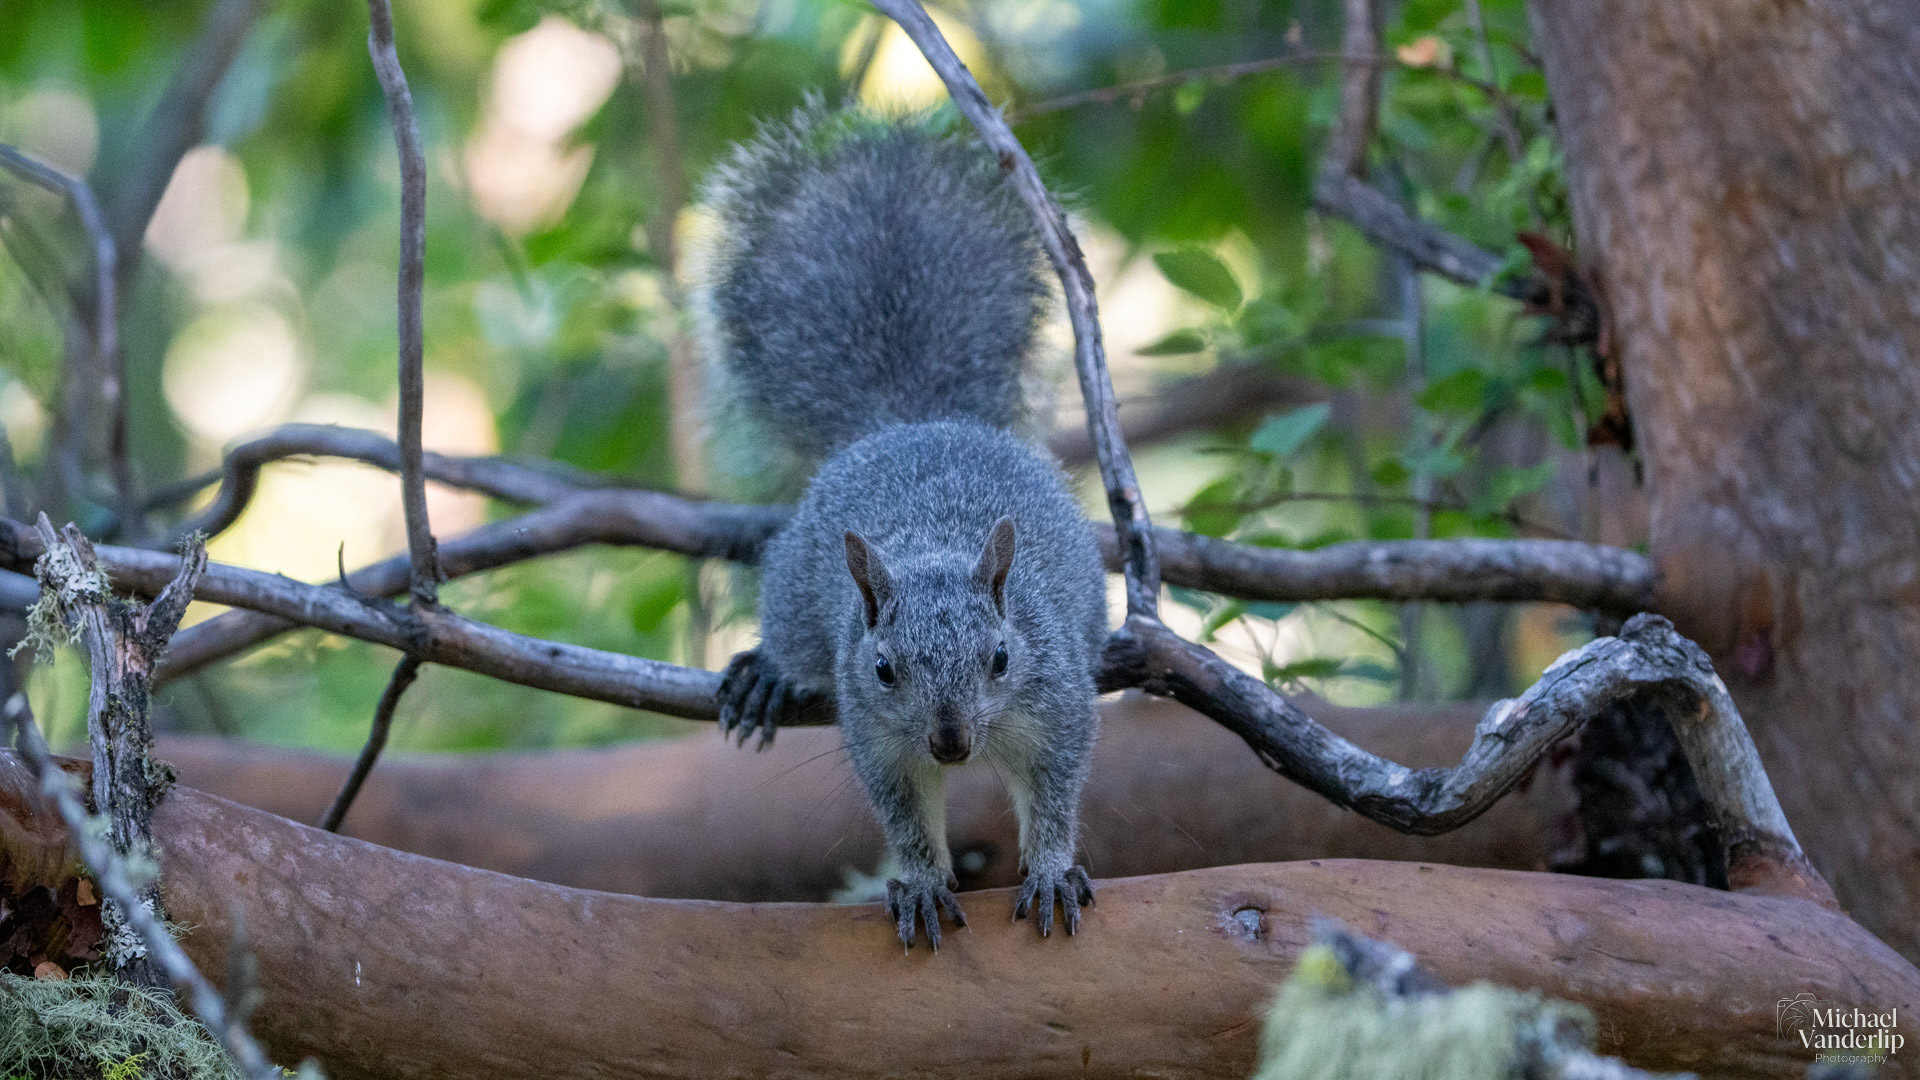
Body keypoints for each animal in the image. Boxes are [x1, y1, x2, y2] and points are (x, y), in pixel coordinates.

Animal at [692, 103, 1109, 951]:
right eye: (884, 669)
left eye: (1001, 656)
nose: (950, 743)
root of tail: (910, 422)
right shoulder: (876, 737)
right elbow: (904, 814)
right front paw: (919, 884)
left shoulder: (1057, 703)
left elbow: (1055, 792)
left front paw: (1052, 869)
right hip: (796, 600)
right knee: (792, 639)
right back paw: (767, 675)